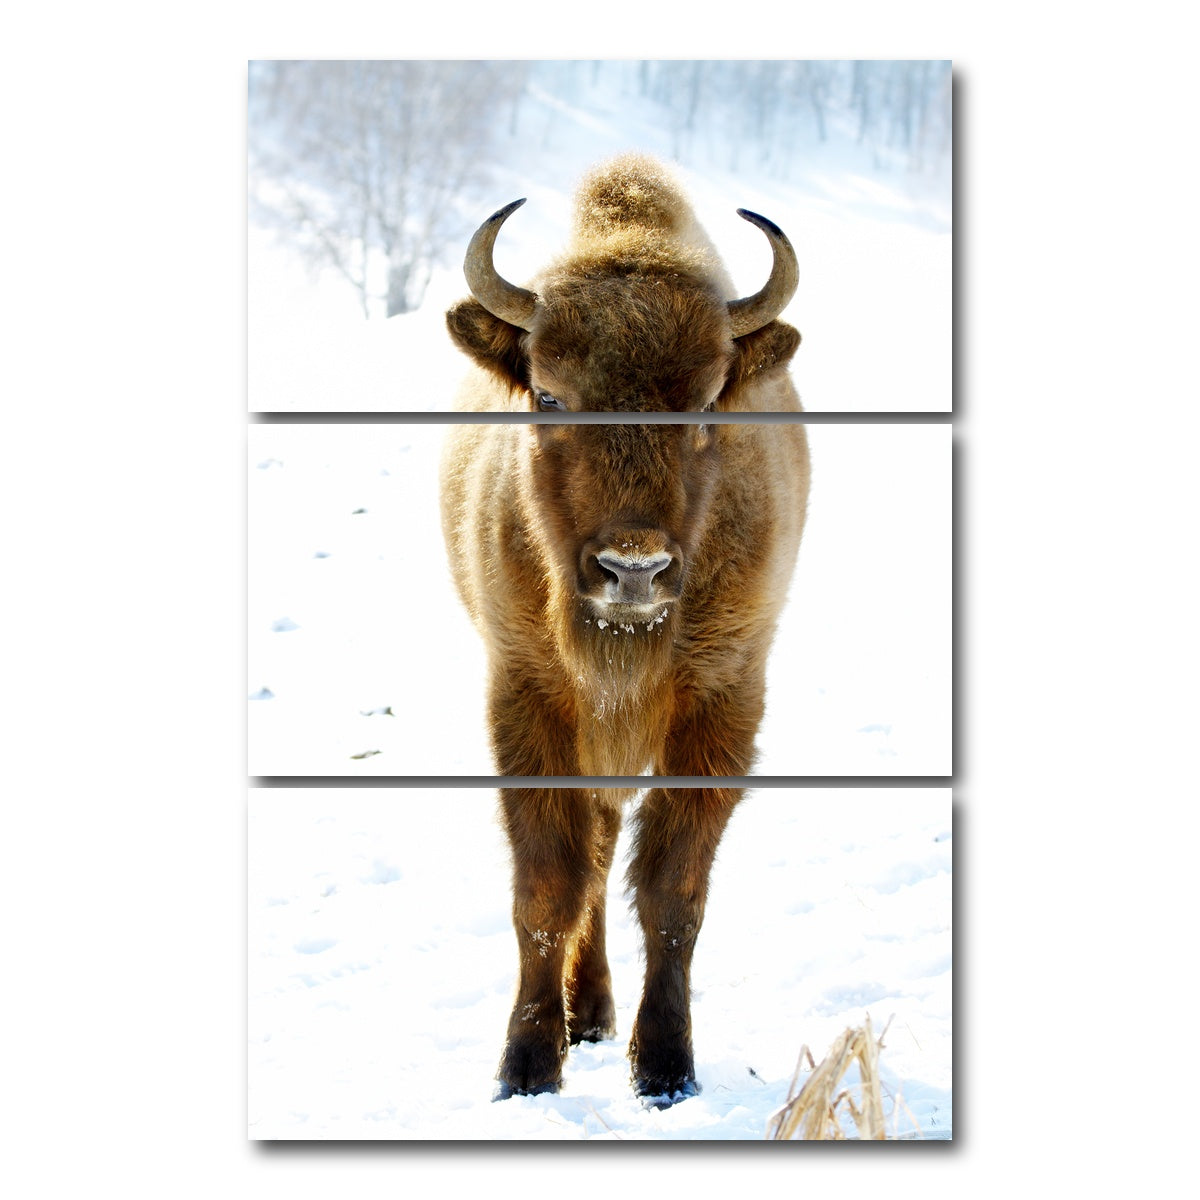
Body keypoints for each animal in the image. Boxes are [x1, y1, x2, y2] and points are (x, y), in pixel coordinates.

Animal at [440, 156, 810, 1103]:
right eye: (546, 393)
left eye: (712, 400)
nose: (632, 569)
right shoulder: (529, 699)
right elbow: (548, 887)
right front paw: (528, 1068)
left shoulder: (721, 705)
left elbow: (674, 892)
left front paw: (668, 1070)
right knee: (595, 855)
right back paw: (590, 1013)